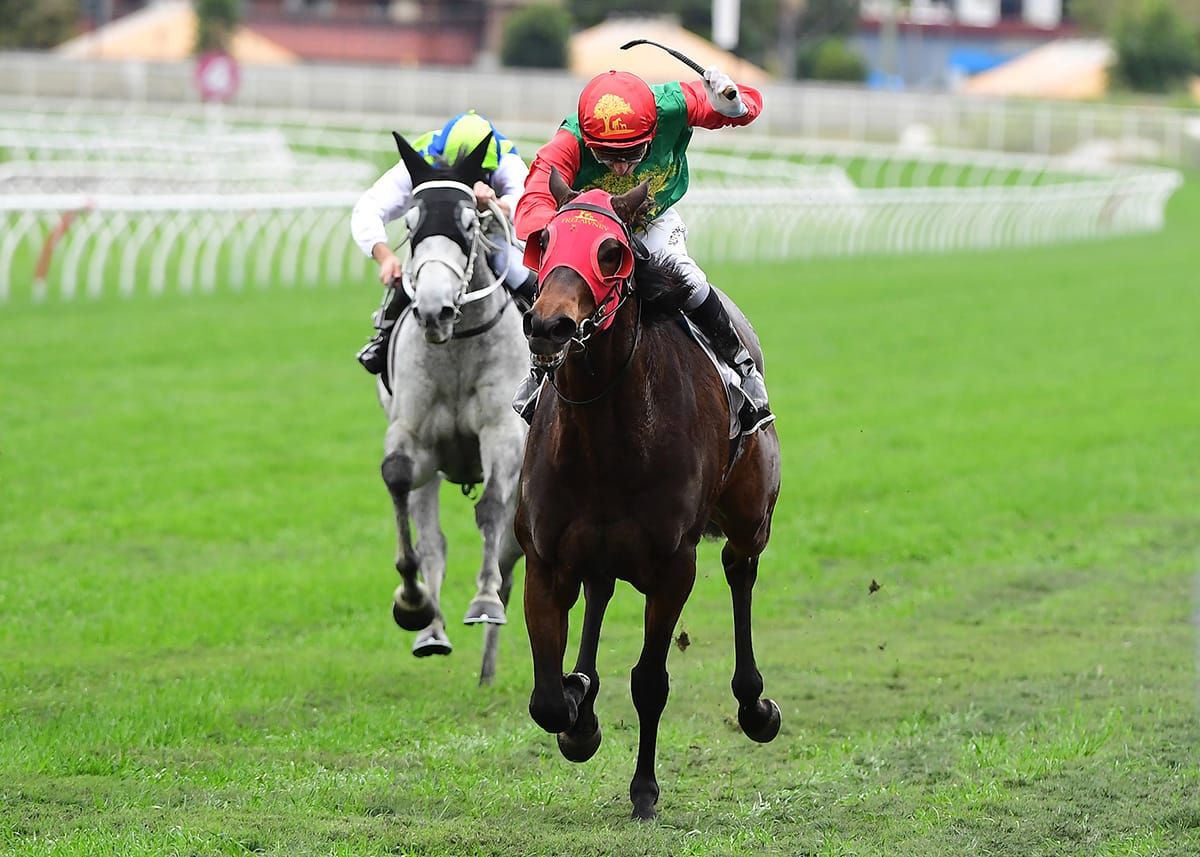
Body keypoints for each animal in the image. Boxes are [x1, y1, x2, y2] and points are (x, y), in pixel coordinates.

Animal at [377, 132, 528, 686]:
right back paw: (436, 633)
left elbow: (491, 512)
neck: (458, 347)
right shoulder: (414, 435)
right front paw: (414, 605)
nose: (433, 310)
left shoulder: (504, 433)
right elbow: (400, 483)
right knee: (434, 537)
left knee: (514, 550)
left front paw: (484, 600)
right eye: (411, 224)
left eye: (469, 222)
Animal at [515, 170, 783, 818]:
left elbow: (650, 682)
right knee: (601, 590)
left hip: (751, 514)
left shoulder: (672, 565)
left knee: (740, 568)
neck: (607, 441)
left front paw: (644, 791)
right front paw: (579, 714)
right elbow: (547, 699)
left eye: (611, 251)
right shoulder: (545, 558)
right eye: (544, 239)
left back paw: (756, 705)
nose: (549, 326)